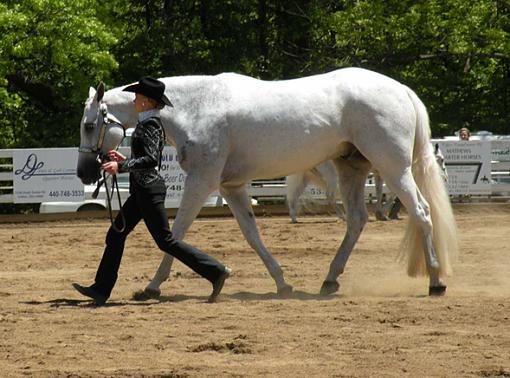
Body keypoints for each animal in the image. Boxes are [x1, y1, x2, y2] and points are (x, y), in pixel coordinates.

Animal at [78, 68, 458, 298]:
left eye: (88, 125)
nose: (85, 172)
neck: (198, 108)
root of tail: (401, 89)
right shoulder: (231, 187)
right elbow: (252, 235)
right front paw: (281, 282)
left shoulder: (202, 181)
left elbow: (177, 233)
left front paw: (153, 286)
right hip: (351, 168)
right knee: (356, 221)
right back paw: (330, 279)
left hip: (393, 167)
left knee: (422, 213)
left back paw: (436, 281)